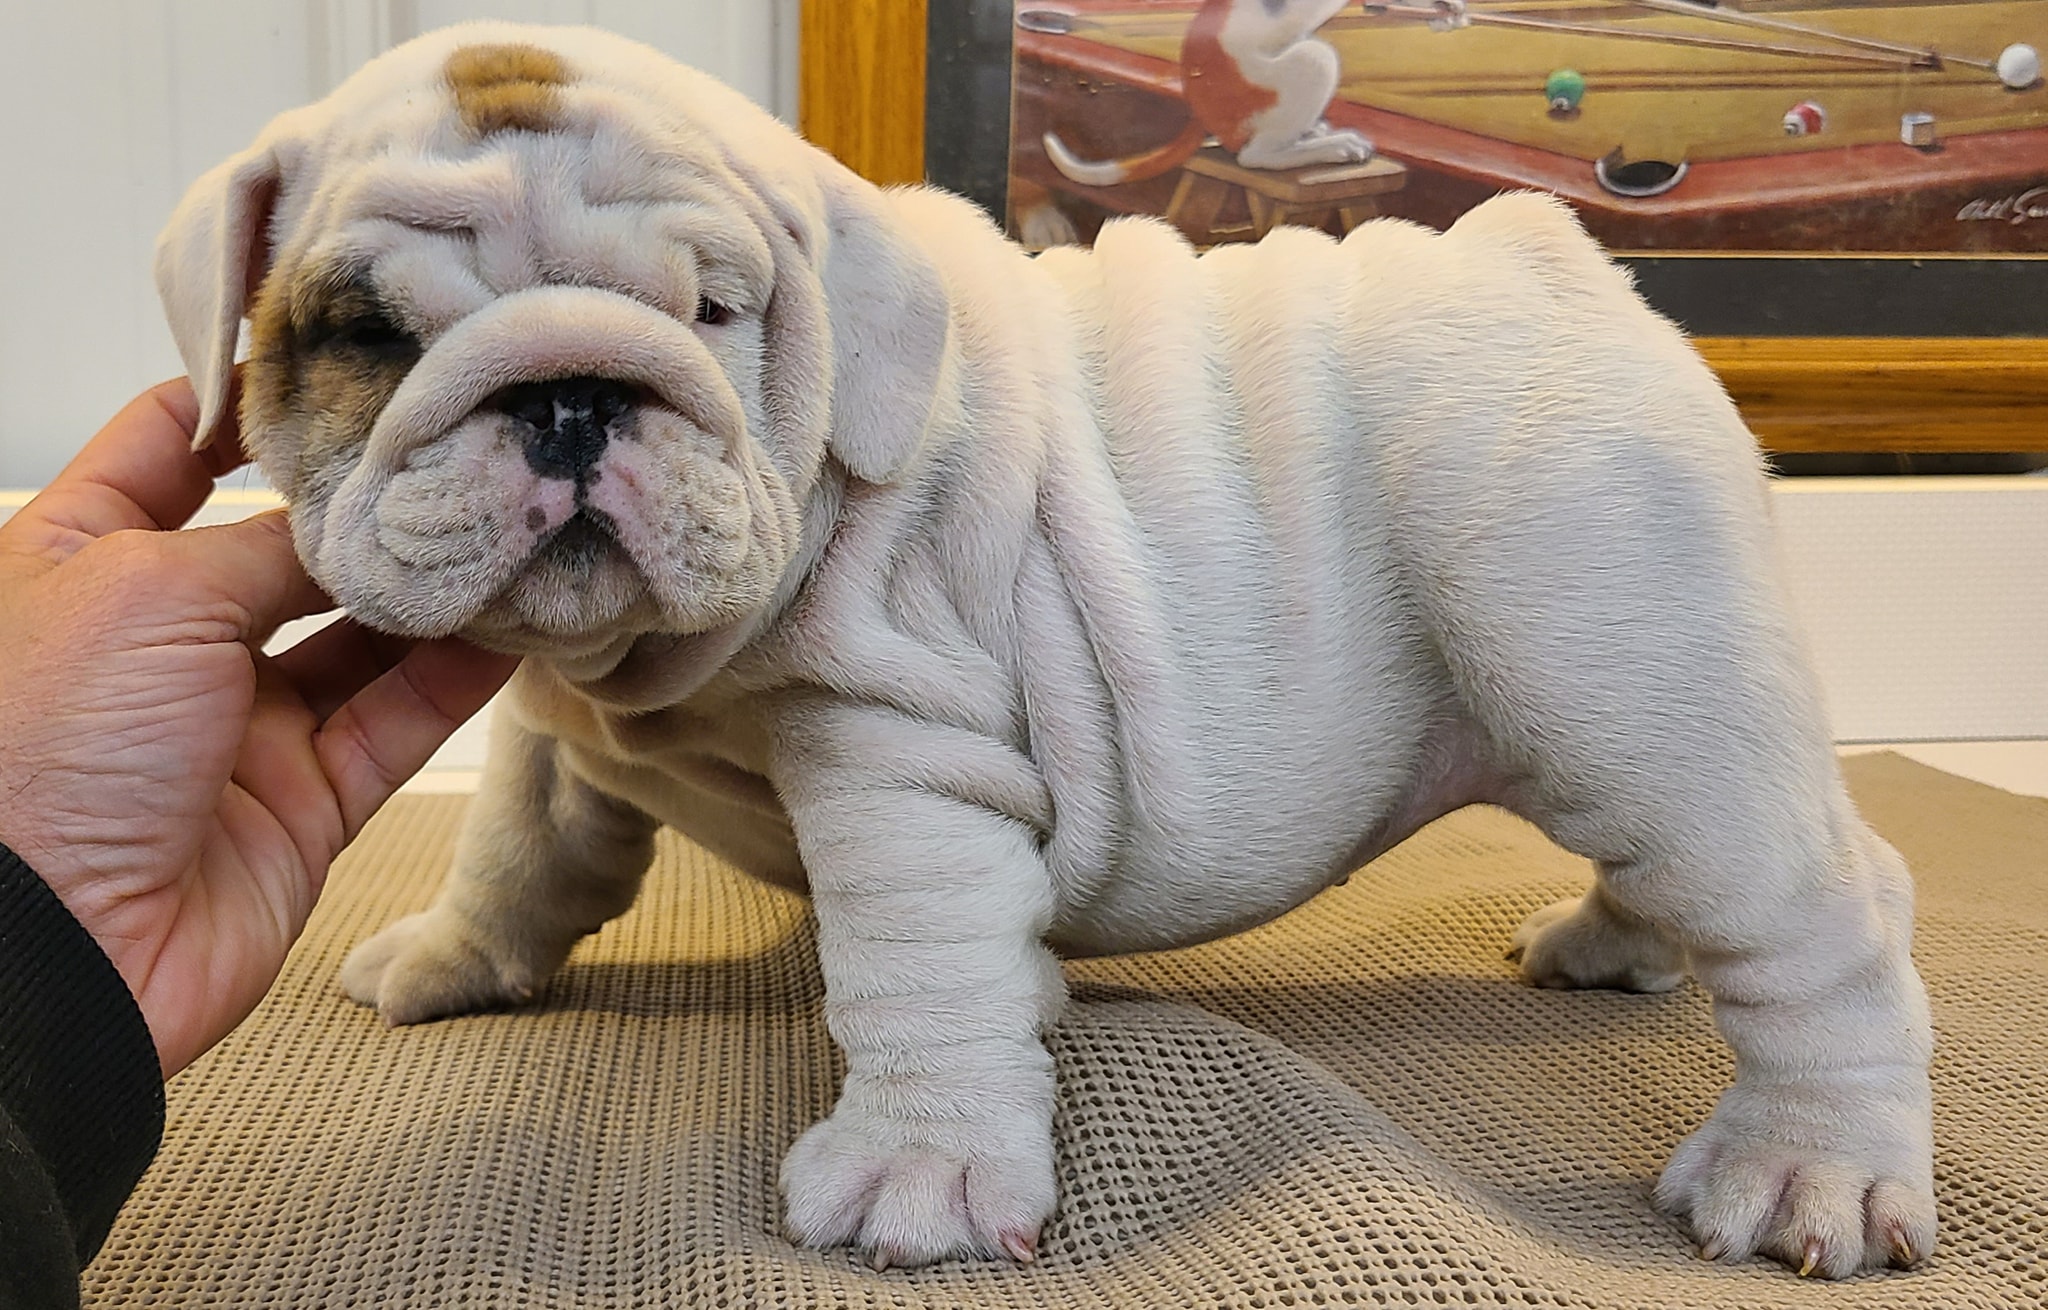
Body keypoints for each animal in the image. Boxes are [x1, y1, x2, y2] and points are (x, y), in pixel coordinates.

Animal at [155, 20, 1933, 1277]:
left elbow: (916, 964)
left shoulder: (903, 751)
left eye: (719, 311)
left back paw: (1812, 1166)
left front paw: (922, 1170)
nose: (574, 392)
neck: (657, 659)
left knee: (1819, 911)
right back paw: (1615, 948)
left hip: (1627, 674)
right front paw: (456, 955)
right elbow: (526, 842)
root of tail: (1543, 257)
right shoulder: (559, 718)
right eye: (366, 334)